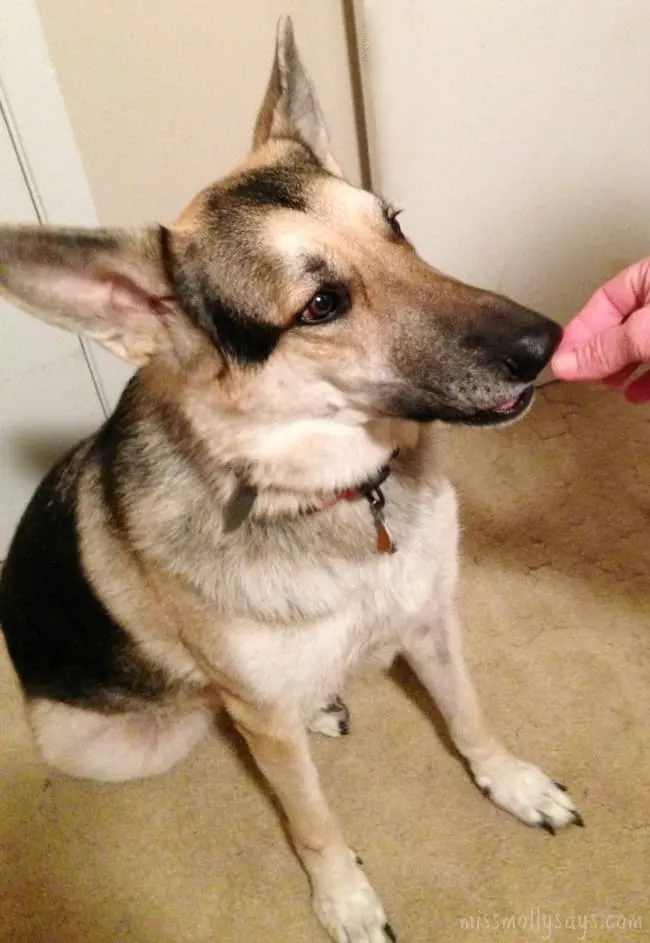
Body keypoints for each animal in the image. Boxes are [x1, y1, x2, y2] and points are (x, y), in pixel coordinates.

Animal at [0, 18, 582, 943]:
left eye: (395, 224)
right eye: (320, 305)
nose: (547, 341)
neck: (338, 495)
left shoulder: (433, 622)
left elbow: (469, 717)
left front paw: (511, 781)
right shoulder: (267, 725)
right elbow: (312, 818)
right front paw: (342, 895)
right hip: (122, 743)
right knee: (215, 706)